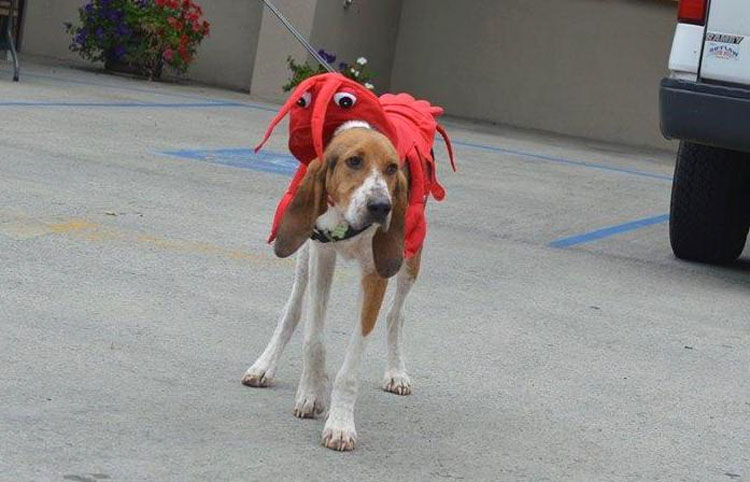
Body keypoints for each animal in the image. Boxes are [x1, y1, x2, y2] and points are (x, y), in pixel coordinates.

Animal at [247, 122, 424, 450]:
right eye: (353, 161)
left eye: (392, 168)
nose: (381, 206)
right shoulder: (321, 256)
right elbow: (313, 340)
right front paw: (311, 394)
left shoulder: (375, 275)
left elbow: (350, 366)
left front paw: (340, 424)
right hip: (303, 254)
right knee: (291, 311)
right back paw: (264, 365)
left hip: (410, 256)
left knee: (396, 314)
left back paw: (396, 372)